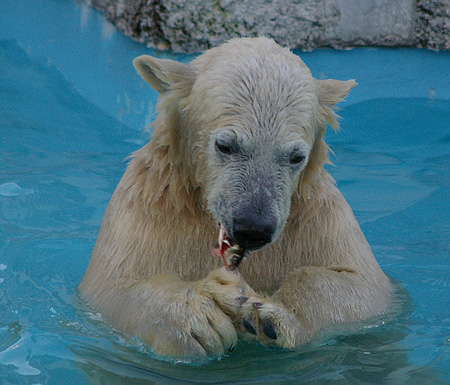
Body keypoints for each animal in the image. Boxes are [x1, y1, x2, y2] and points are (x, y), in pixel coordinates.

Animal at [79, 36, 392, 356]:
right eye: (225, 145)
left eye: (296, 156)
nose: (253, 227)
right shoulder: (147, 207)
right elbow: (115, 288)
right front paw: (201, 318)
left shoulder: (317, 218)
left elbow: (362, 286)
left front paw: (267, 316)